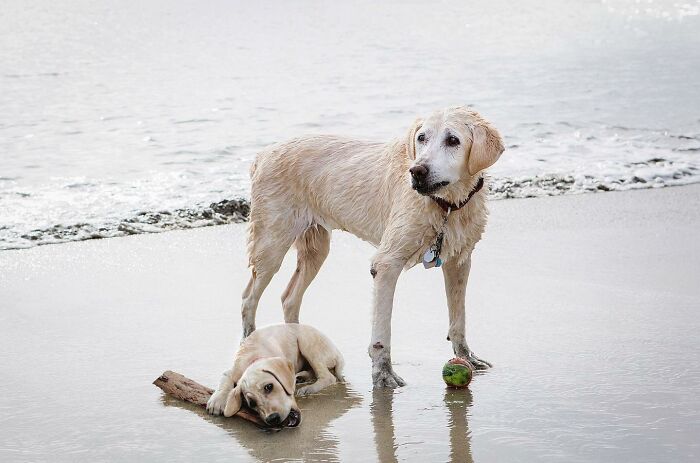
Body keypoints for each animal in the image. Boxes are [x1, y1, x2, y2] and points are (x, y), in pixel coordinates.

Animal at [206, 322, 346, 428]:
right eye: (251, 404)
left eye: (269, 387)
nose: (272, 419)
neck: (254, 358)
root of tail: (338, 354)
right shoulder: (231, 372)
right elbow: (224, 382)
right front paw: (216, 400)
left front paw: (215, 402)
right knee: (314, 371)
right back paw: (300, 378)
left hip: (306, 342)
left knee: (328, 376)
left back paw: (308, 388)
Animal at [241, 105, 504, 388]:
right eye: (421, 138)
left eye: (453, 140)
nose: (417, 171)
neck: (446, 205)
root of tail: (263, 154)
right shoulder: (386, 264)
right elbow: (383, 331)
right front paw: (383, 374)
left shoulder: (459, 261)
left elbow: (459, 318)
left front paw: (467, 356)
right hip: (271, 244)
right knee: (248, 298)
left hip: (316, 248)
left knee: (290, 297)